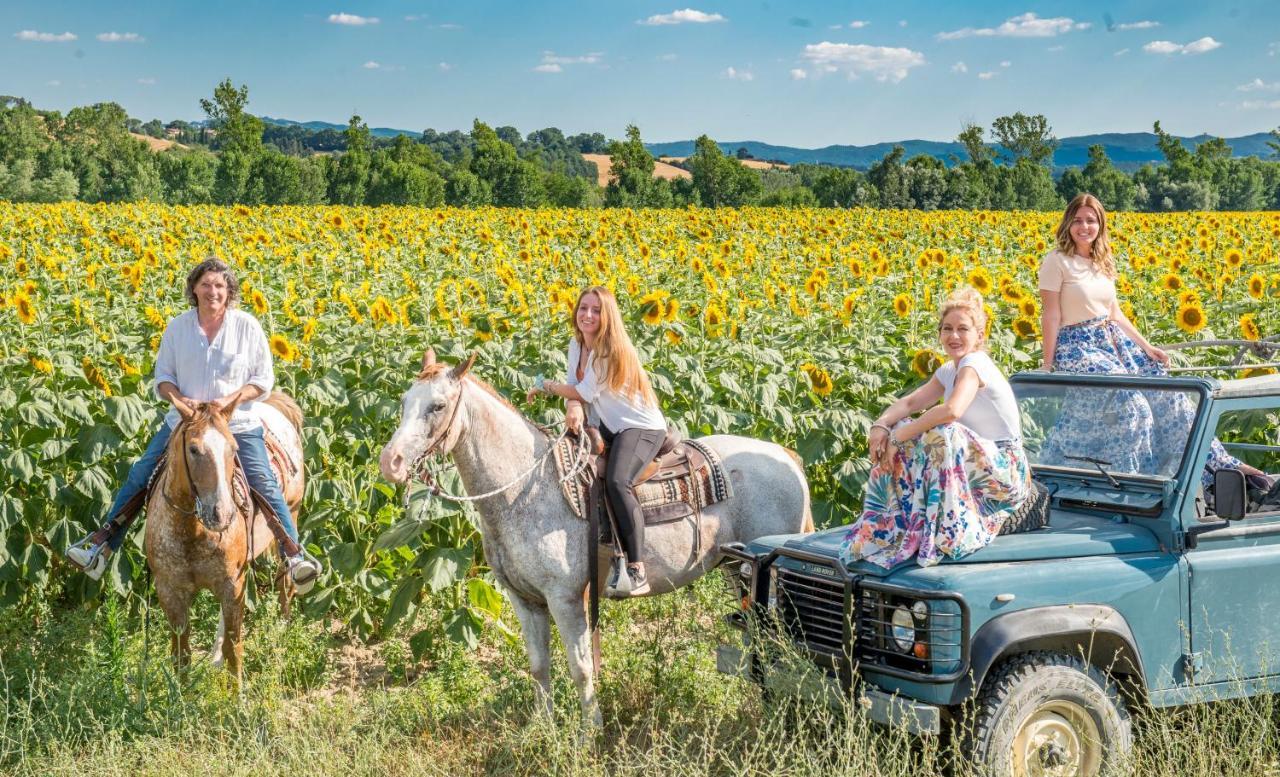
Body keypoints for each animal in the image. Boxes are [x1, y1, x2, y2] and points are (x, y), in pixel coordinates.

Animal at [145, 391, 304, 686]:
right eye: (193, 449)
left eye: (233, 448)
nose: (221, 513)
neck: (191, 532)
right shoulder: (170, 590)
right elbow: (181, 652)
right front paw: (180, 695)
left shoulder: (232, 584)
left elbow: (235, 646)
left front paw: (237, 694)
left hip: (293, 514)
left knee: (286, 581)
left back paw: (282, 632)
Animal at [373, 350, 808, 727]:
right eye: (404, 402)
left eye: (437, 406)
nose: (390, 463)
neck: (524, 489)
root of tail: (786, 456)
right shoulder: (523, 599)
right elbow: (539, 666)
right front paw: (543, 732)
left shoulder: (565, 598)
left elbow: (581, 668)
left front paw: (588, 734)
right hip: (738, 571)